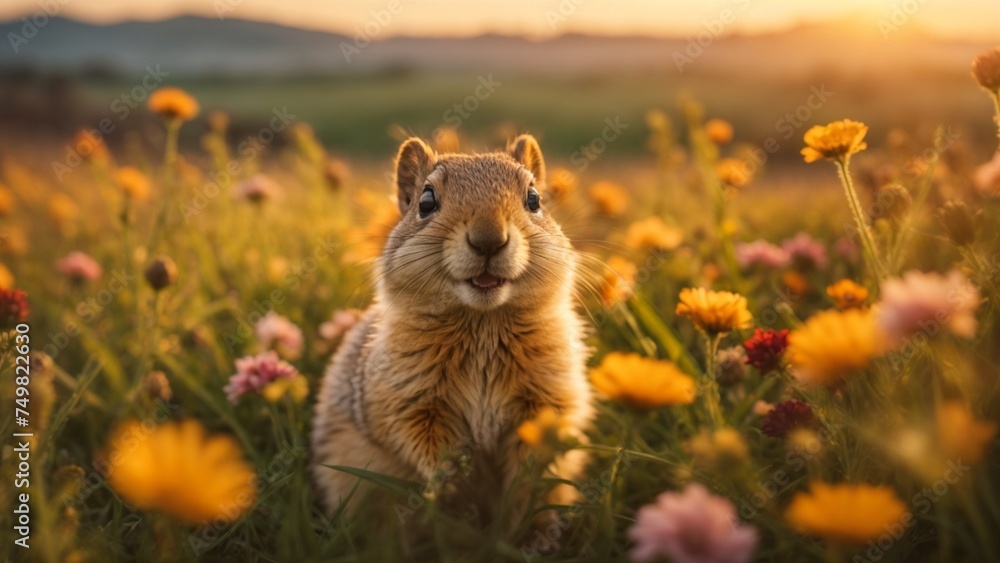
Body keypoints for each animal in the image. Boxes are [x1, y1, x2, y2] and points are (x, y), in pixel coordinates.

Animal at [310, 134, 593, 529]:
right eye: (426, 202)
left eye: (534, 199)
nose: (489, 238)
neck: (482, 322)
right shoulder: (406, 398)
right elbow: (420, 439)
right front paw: (454, 484)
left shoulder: (547, 394)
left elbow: (538, 447)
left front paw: (521, 496)